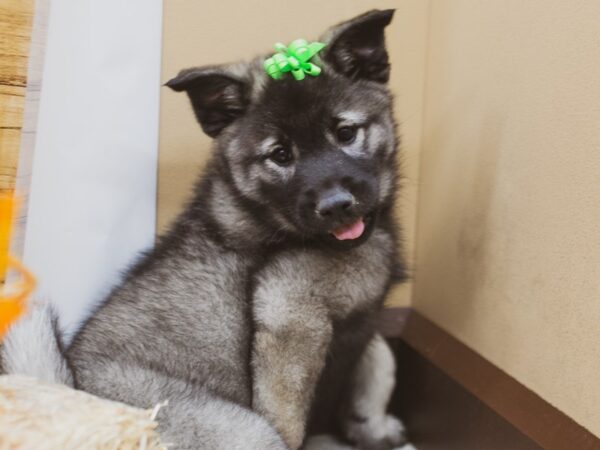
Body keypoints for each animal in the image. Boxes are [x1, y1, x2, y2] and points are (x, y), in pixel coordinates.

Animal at [1, 9, 408, 450]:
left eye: (346, 133)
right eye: (280, 155)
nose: (335, 205)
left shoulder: (360, 322)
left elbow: (380, 358)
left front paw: (371, 425)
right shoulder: (291, 317)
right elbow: (291, 416)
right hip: (244, 429)